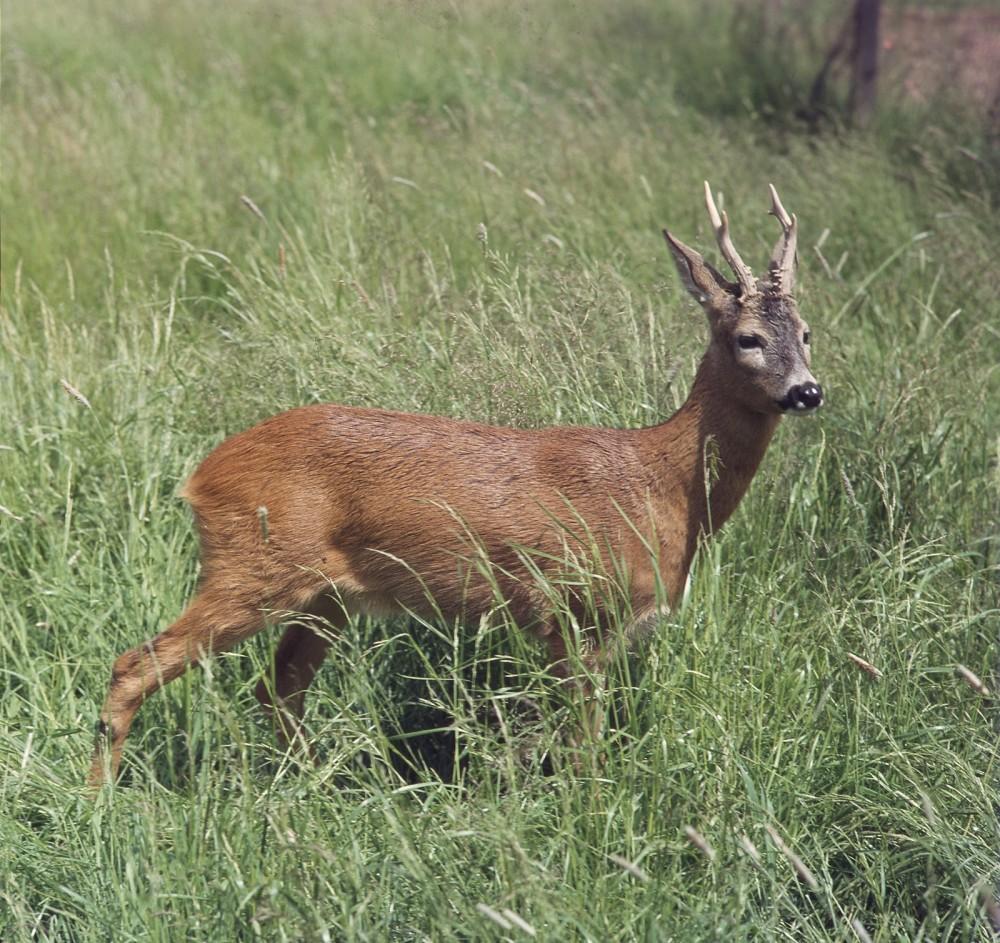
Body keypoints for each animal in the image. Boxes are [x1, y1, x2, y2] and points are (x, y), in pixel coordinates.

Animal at [88, 181, 820, 784]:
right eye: (748, 337)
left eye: (809, 332)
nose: (808, 391)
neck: (662, 485)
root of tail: (199, 476)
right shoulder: (575, 610)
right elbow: (584, 745)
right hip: (252, 567)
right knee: (134, 665)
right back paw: (101, 801)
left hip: (327, 597)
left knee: (278, 685)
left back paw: (316, 789)